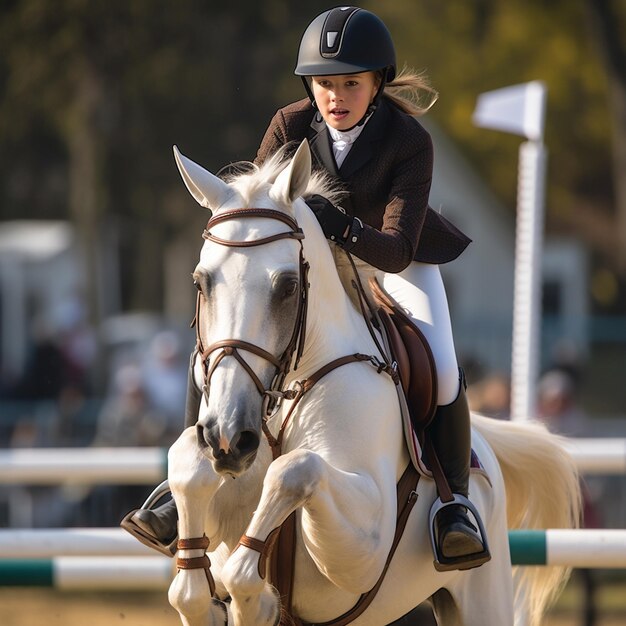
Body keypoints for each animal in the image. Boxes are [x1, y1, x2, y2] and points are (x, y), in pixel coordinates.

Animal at [163, 141, 576, 624]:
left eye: (287, 287)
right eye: (201, 282)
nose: (230, 438)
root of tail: (486, 451)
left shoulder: (364, 546)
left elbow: (294, 470)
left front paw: (256, 596)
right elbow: (188, 479)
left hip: (480, 596)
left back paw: (458, 527)